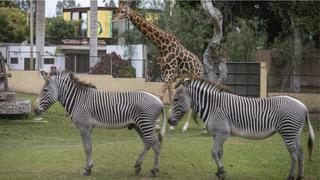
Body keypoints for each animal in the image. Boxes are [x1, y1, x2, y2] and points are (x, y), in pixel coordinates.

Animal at [33, 71, 166, 176]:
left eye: (45, 90)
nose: (35, 110)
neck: (77, 100)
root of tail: (159, 101)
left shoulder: (84, 126)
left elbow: (87, 148)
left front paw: (87, 169)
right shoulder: (89, 127)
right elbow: (89, 147)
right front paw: (89, 167)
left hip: (145, 124)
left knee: (156, 145)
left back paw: (154, 170)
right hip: (139, 125)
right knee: (148, 143)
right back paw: (138, 166)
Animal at [115, 3, 204, 131]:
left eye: (122, 11)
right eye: (117, 9)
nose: (113, 18)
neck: (162, 45)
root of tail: (201, 66)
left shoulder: (170, 73)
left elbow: (161, 95)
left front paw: (157, 124)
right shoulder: (166, 73)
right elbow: (171, 96)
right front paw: (170, 125)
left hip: (195, 77)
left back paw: (187, 126)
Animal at [168, 77, 316, 180]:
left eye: (176, 99)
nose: (169, 120)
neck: (213, 107)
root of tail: (303, 106)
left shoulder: (223, 132)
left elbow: (214, 152)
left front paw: (221, 171)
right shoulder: (217, 134)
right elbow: (219, 153)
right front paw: (219, 172)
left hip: (288, 131)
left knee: (294, 154)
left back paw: (290, 176)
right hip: (295, 133)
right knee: (301, 152)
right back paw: (300, 176)